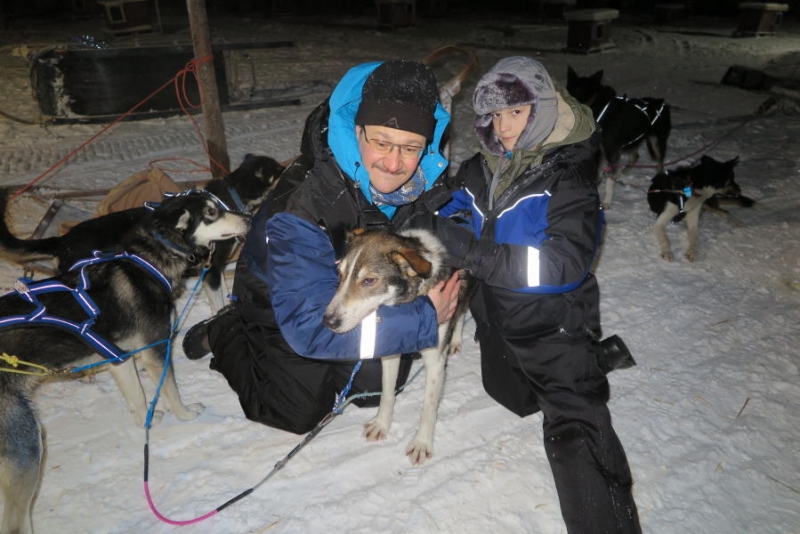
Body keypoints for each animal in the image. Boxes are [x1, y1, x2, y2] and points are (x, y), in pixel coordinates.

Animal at [0, 191, 250, 532]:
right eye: (212, 212)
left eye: (219, 206)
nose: (248, 218)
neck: (149, 260)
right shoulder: (155, 350)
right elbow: (171, 392)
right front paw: (186, 415)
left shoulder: (119, 357)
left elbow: (138, 398)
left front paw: (148, 420)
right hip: (26, 448)